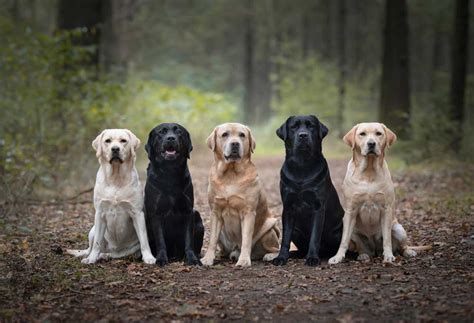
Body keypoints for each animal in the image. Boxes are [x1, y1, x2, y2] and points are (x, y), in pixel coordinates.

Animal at [66, 129, 155, 266]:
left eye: (123, 141)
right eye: (107, 141)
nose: (115, 149)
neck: (116, 178)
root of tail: (114, 249)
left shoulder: (137, 213)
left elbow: (144, 240)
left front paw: (149, 257)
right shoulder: (100, 213)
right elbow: (97, 243)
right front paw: (91, 259)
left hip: (128, 249)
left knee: (117, 254)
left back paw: (105, 256)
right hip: (92, 231)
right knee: (91, 248)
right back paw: (93, 255)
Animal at [144, 123, 204, 268]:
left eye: (179, 132)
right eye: (161, 132)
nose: (170, 138)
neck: (169, 173)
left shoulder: (188, 211)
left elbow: (188, 240)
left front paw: (192, 259)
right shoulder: (156, 214)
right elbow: (160, 240)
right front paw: (161, 259)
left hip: (197, 216)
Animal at [201, 123, 282, 268]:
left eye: (242, 135)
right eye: (225, 134)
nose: (235, 144)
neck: (230, 174)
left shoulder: (248, 212)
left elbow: (246, 239)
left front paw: (244, 260)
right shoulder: (215, 212)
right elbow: (212, 240)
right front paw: (208, 258)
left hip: (269, 229)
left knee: (276, 248)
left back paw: (268, 255)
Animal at [270, 115, 344, 268]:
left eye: (311, 126)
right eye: (294, 127)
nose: (303, 135)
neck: (302, 165)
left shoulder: (318, 207)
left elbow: (315, 236)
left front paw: (312, 258)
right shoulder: (288, 207)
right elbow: (285, 238)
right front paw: (281, 257)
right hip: (296, 231)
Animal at [328, 123, 416, 264]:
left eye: (378, 133)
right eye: (362, 134)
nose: (371, 143)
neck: (368, 170)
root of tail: (375, 250)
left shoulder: (386, 209)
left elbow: (387, 239)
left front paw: (389, 256)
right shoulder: (350, 210)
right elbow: (344, 240)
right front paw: (338, 257)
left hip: (398, 228)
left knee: (402, 245)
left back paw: (408, 251)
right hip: (354, 231)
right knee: (362, 247)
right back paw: (363, 255)